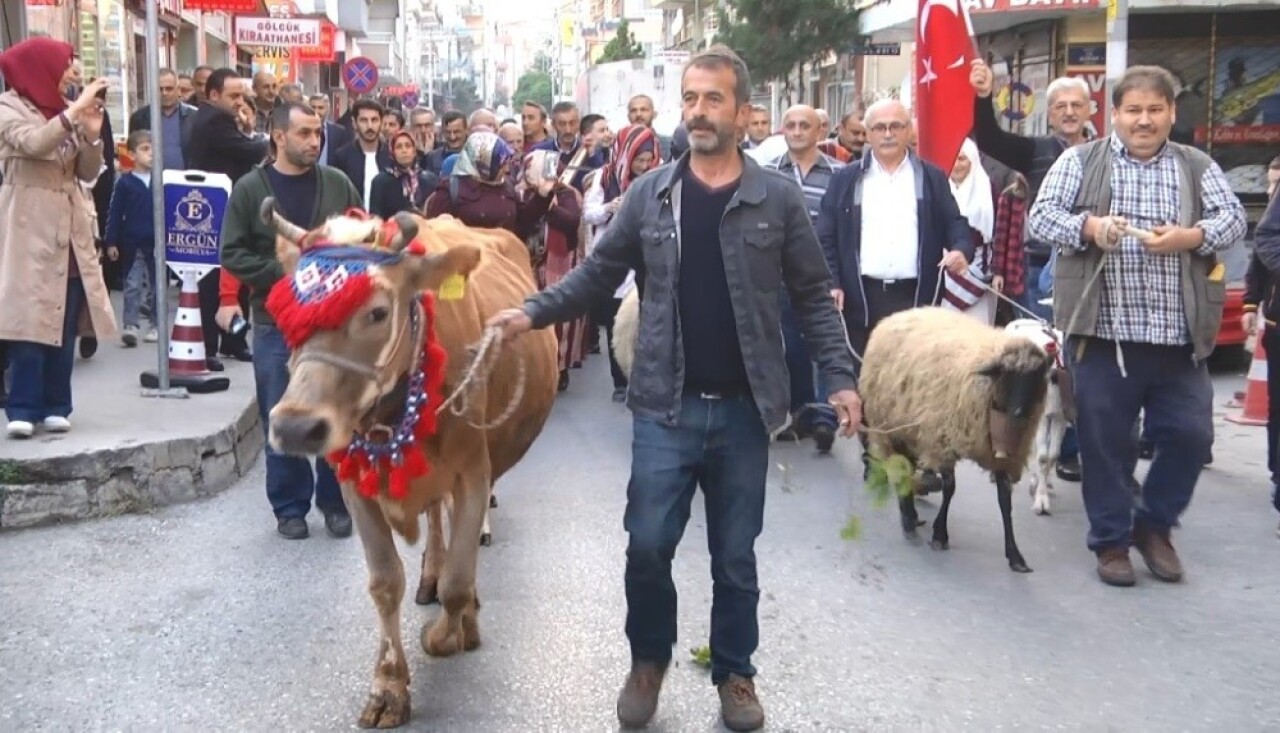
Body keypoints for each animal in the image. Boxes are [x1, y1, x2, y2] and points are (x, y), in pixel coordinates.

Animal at [257, 202, 558, 726]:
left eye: (378, 312)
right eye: (283, 313)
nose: (295, 427)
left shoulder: (472, 471)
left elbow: (459, 581)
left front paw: (447, 633)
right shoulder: (354, 484)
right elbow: (384, 582)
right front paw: (388, 687)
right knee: (436, 521)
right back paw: (429, 574)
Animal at [855, 304, 1054, 570]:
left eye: (1036, 378)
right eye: (1008, 376)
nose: (1020, 412)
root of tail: (897, 315)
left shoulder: (1002, 455)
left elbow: (1005, 501)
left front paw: (1015, 555)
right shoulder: (942, 440)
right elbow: (950, 488)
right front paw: (940, 534)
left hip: (910, 430)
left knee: (908, 469)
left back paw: (913, 515)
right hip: (892, 426)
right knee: (900, 469)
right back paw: (908, 519)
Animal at [998, 318, 1070, 514]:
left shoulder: (1059, 416)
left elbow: (1052, 455)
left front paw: (1041, 488)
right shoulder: (1042, 417)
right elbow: (1042, 457)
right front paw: (1040, 500)